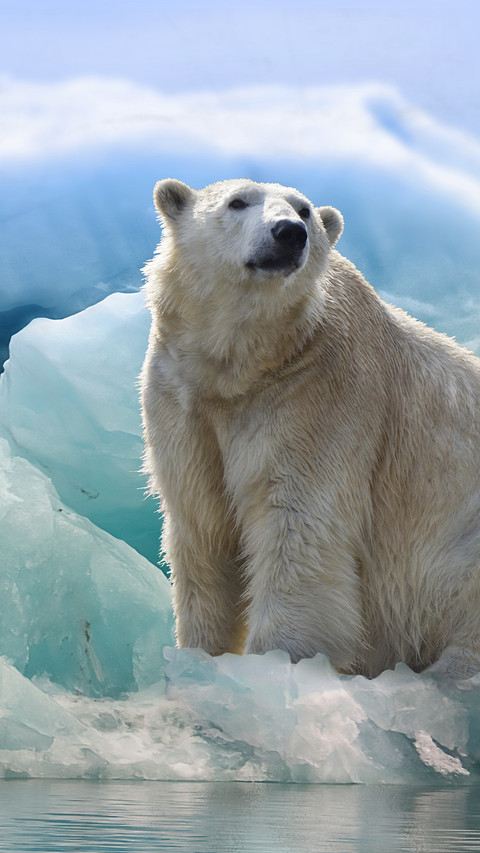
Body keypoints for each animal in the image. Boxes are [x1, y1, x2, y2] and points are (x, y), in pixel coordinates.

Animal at [140, 177, 480, 679]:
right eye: (237, 202)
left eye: (304, 211)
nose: (288, 233)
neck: (245, 367)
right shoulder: (182, 399)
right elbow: (203, 529)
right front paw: (199, 657)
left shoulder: (319, 394)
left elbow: (297, 527)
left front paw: (275, 663)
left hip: (459, 547)